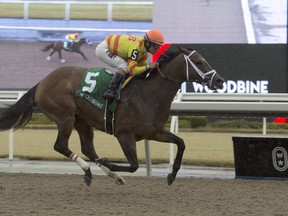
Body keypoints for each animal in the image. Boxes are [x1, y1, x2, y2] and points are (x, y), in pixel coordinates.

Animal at [0, 44, 225, 186]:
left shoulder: (154, 132)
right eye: (199, 61)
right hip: (65, 116)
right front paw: (108, 162)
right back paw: (90, 170)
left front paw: (171, 175)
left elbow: (181, 143)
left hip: (82, 120)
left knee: (87, 148)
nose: (219, 81)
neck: (147, 95)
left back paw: (111, 175)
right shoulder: (124, 135)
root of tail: (43, 82)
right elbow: (134, 165)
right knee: (61, 145)